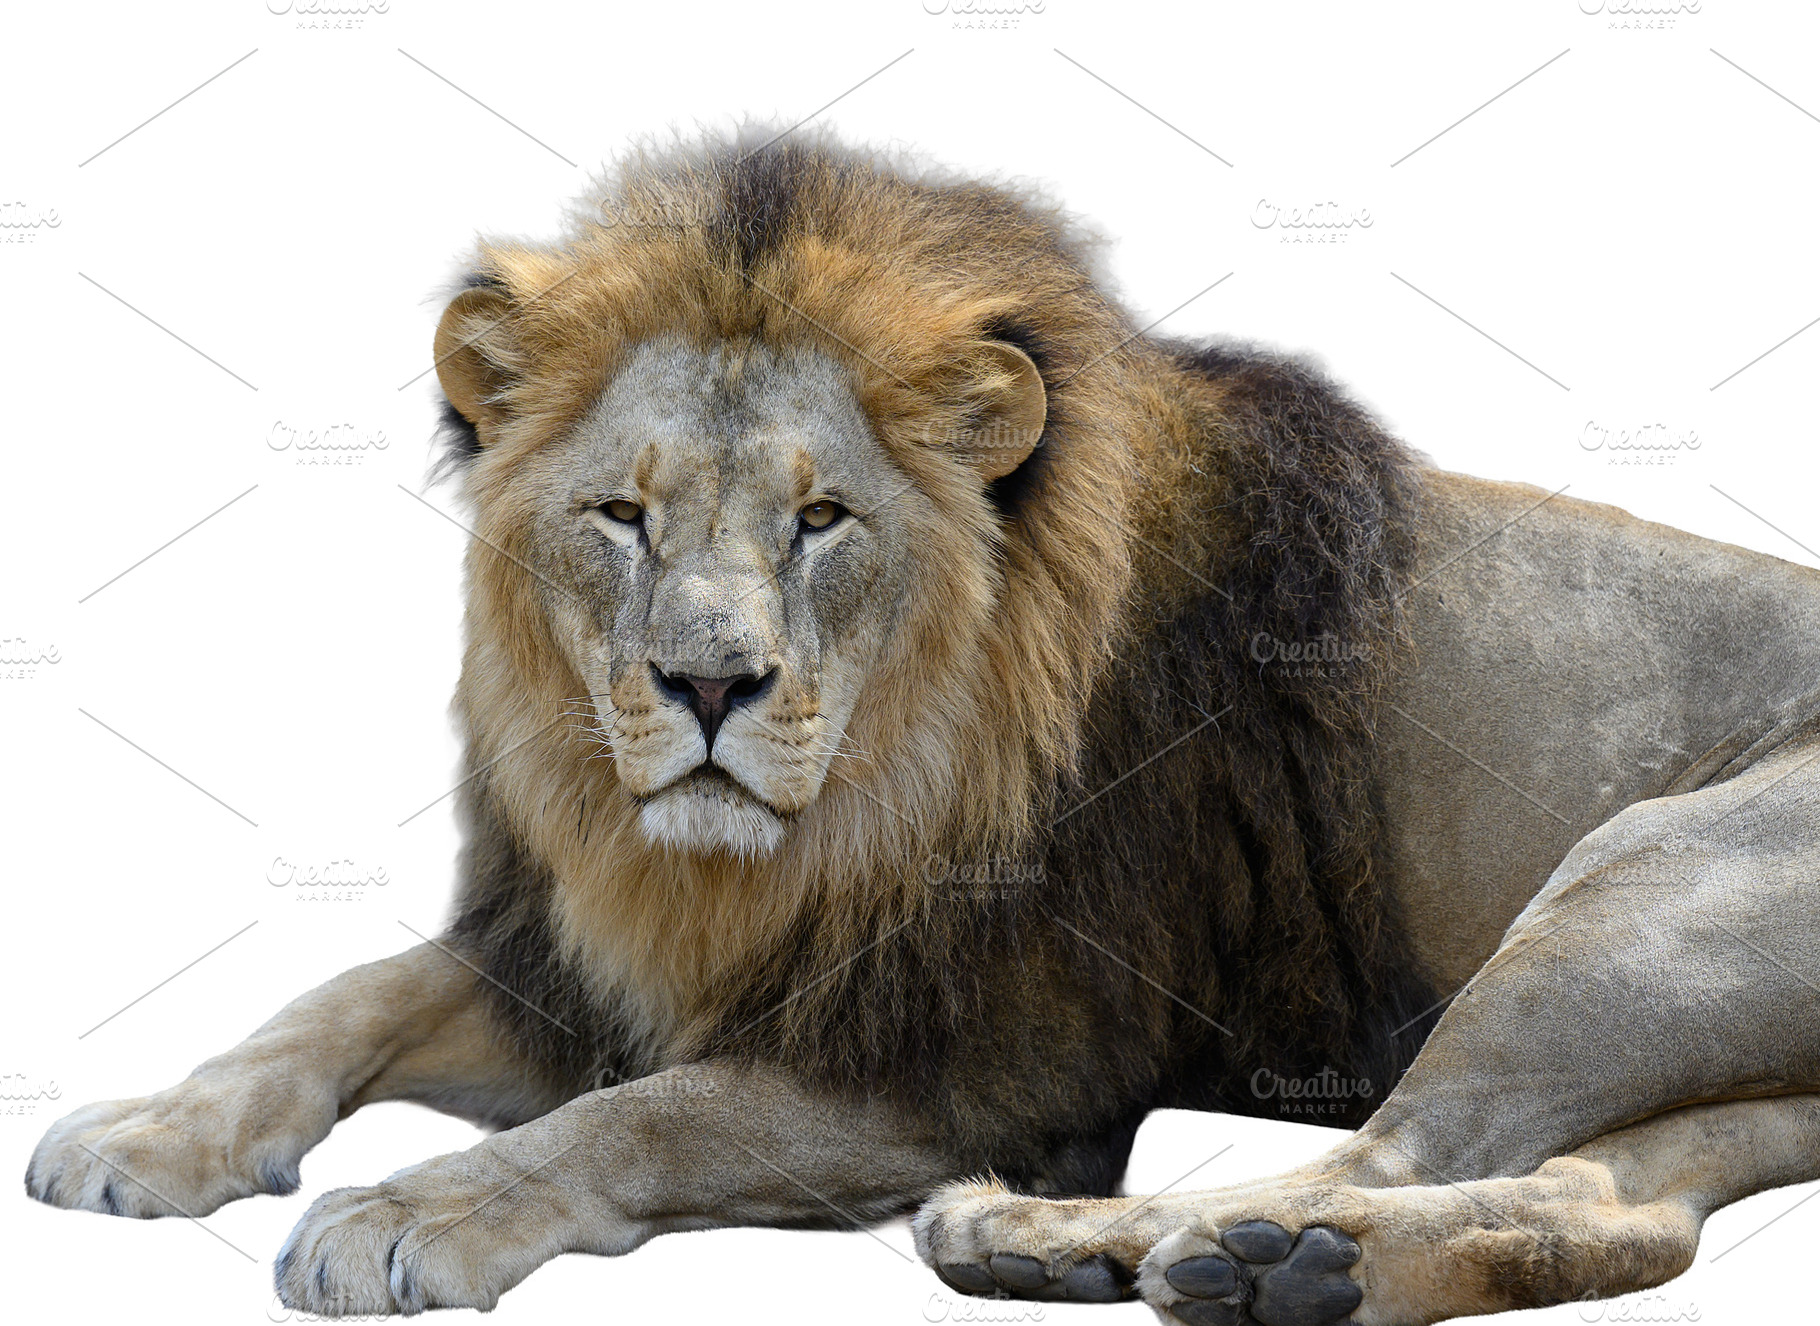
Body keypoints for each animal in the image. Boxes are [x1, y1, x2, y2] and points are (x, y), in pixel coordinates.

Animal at [27, 129, 1820, 1326]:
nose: (709, 685)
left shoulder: (991, 1067)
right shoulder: (588, 959)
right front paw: (147, 1128)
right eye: (621, 515)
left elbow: (644, 1111)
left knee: (1394, 1148)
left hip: (1629, 893)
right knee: (1618, 1206)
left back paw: (1105, 1245)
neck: (796, 839)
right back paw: (1269, 1271)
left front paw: (413, 1204)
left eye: (823, 520)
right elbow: (338, 996)